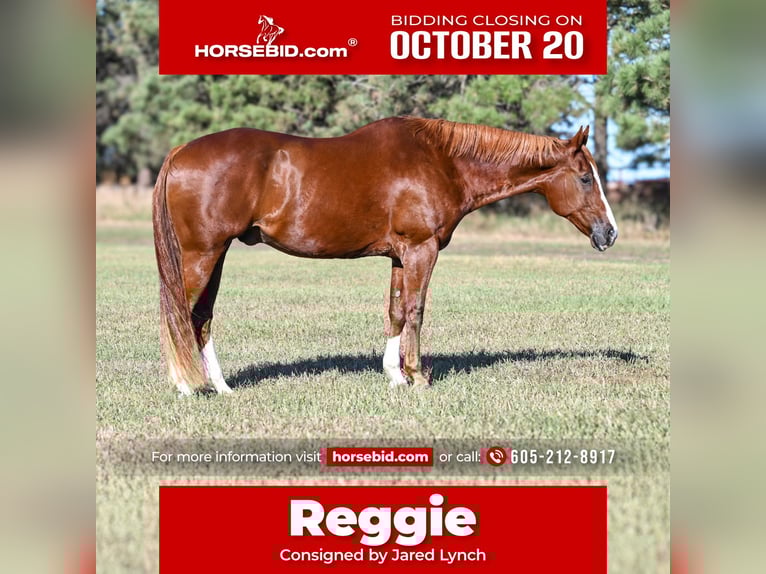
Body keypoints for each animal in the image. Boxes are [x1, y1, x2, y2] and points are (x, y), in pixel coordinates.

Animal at [152, 117, 617, 395]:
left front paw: (394, 375)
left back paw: (220, 386)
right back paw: (187, 385)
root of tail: (179, 152)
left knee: (200, 318)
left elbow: (395, 310)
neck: (442, 161)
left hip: (216, 254)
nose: (609, 233)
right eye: (585, 177)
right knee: (181, 315)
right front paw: (418, 376)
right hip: (202, 254)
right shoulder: (421, 249)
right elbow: (416, 309)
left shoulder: (400, 255)